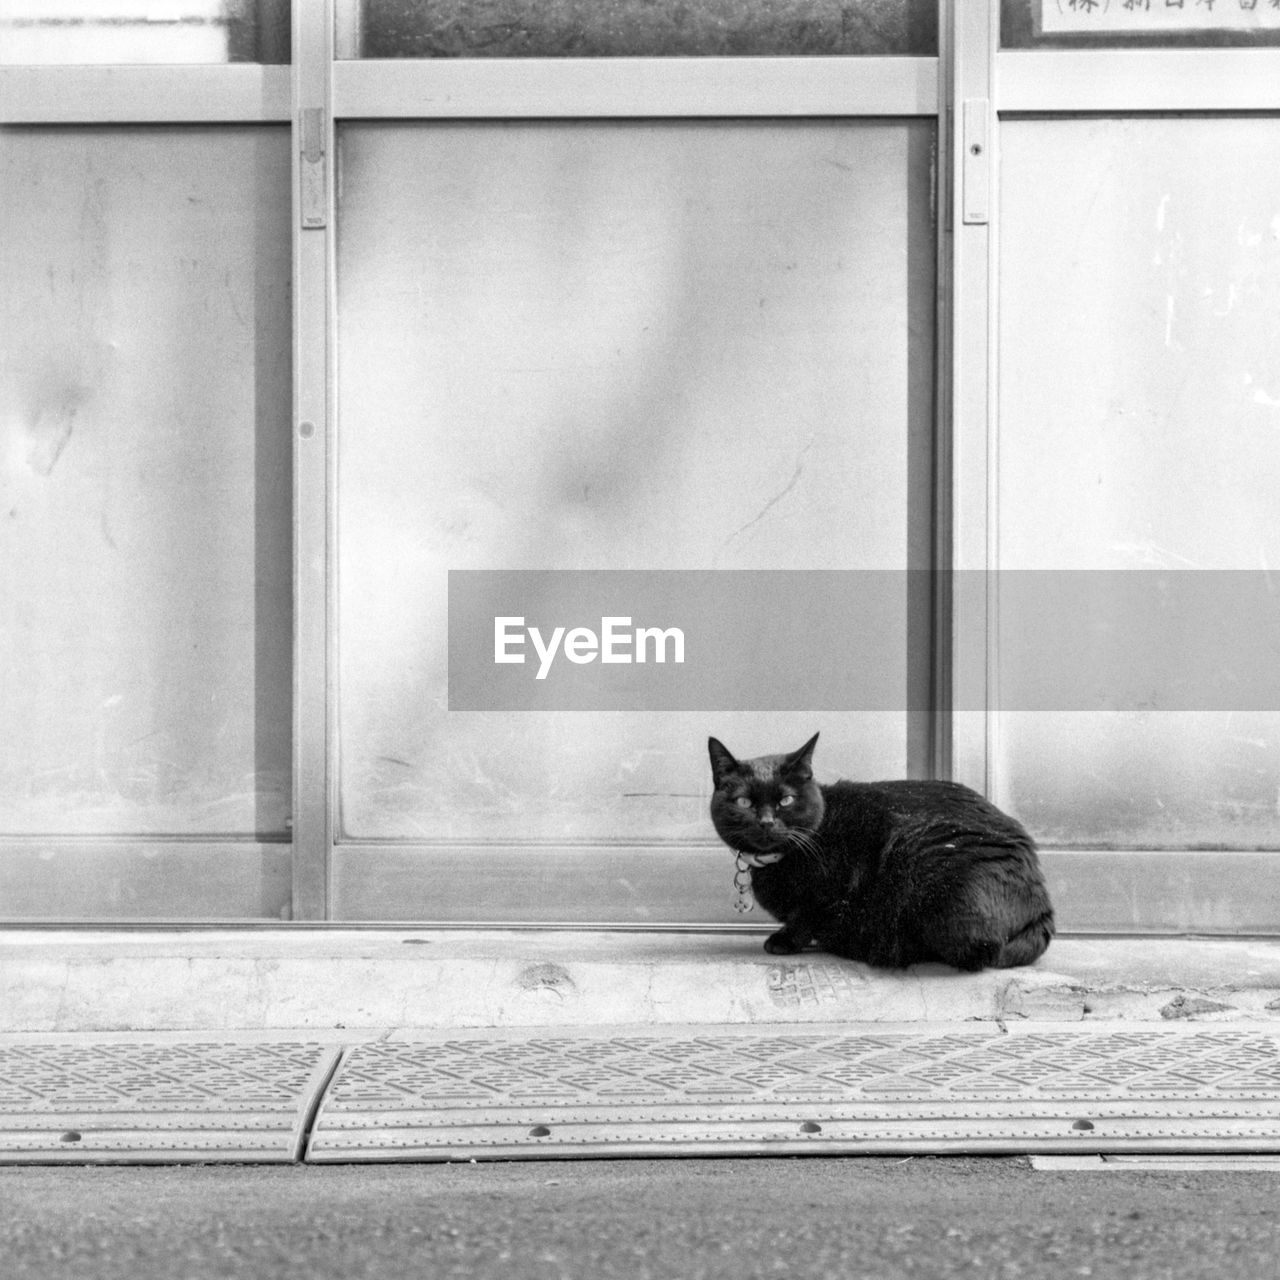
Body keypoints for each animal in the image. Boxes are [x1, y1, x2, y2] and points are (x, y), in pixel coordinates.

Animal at [706, 732, 1054, 967]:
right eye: (744, 802)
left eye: (786, 800)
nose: (766, 822)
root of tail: (1043, 910)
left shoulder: (835, 885)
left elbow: (807, 914)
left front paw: (786, 940)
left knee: (971, 950)